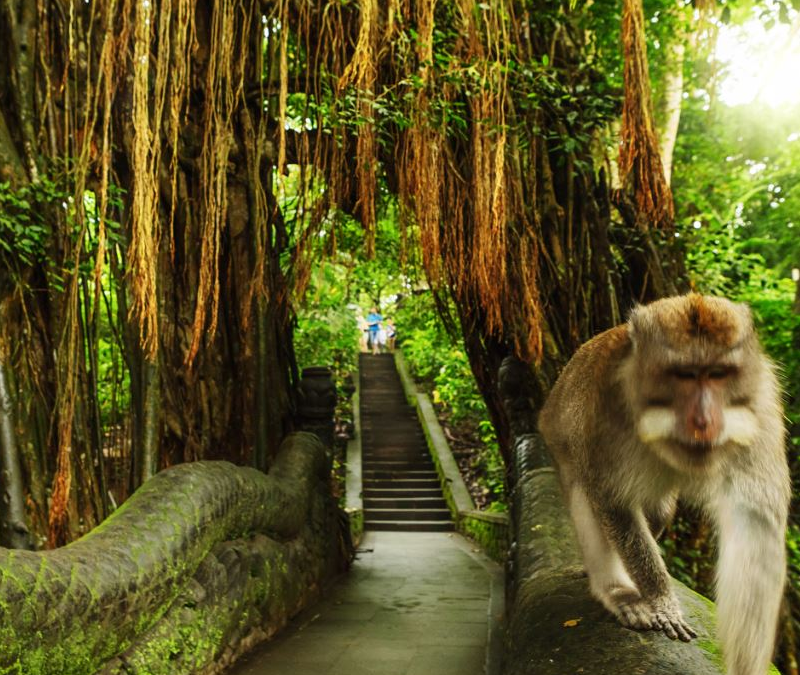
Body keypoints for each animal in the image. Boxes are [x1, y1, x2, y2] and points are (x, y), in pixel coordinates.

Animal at [538, 293, 790, 675]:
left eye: (718, 374)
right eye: (683, 375)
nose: (704, 420)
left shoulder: (760, 409)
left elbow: (756, 527)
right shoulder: (606, 411)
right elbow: (612, 500)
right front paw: (660, 599)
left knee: (657, 513)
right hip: (559, 446)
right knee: (586, 494)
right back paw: (617, 590)